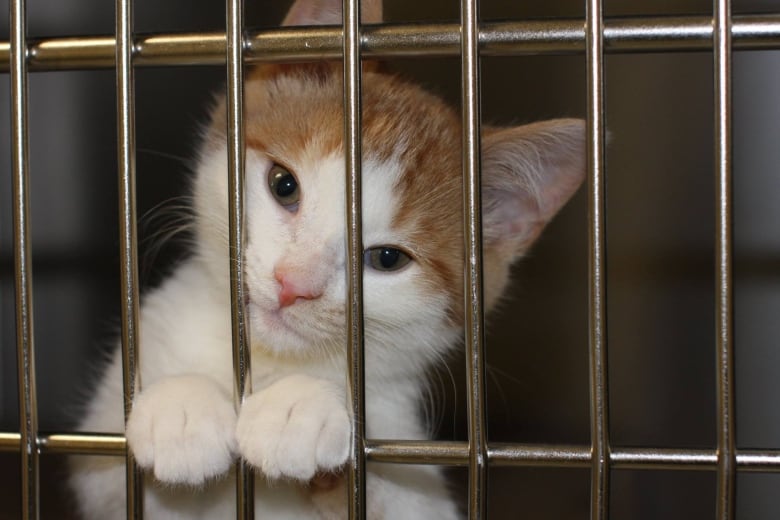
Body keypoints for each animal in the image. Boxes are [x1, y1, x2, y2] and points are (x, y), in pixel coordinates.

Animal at [70, 0, 584, 516]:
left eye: (387, 259)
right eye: (284, 185)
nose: (293, 284)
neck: (267, 363)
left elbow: (406, 497)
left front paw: (300, 407)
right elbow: (103, 477)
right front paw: (183, 406)